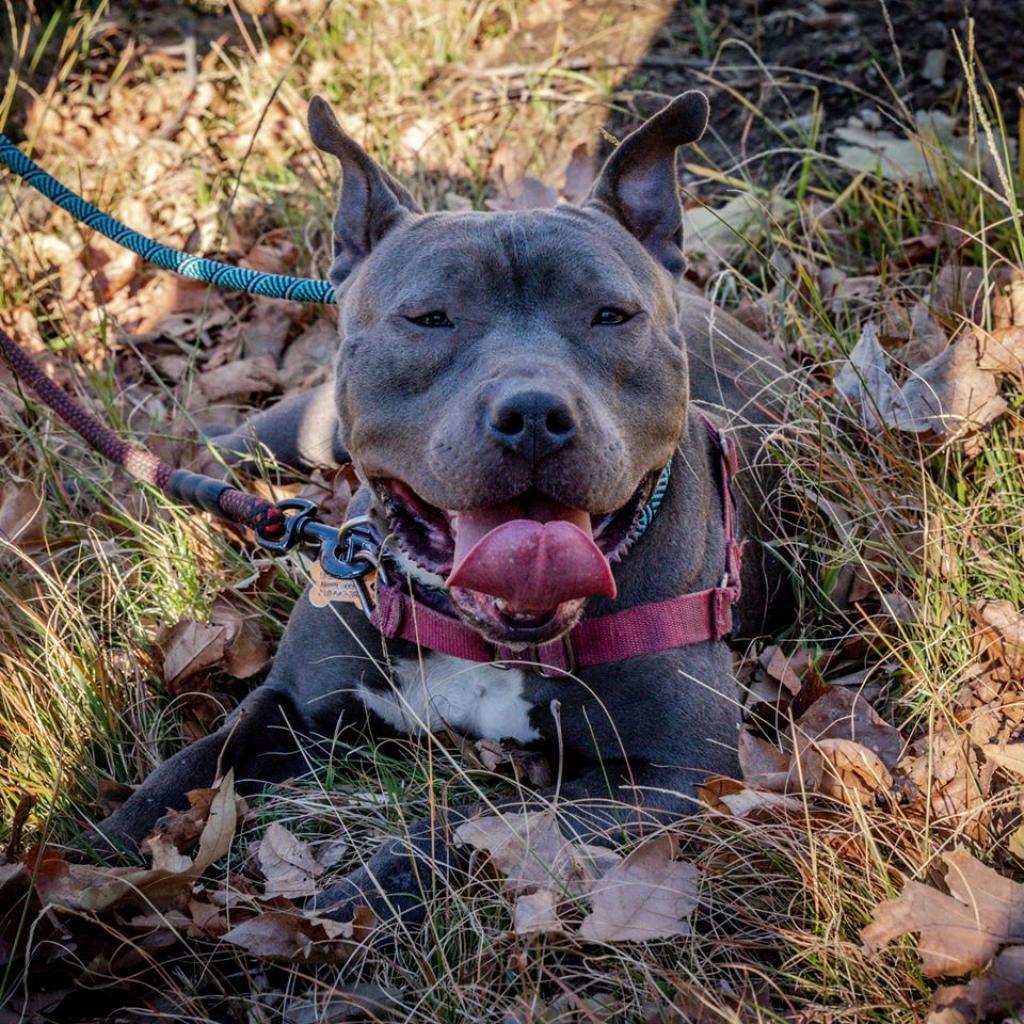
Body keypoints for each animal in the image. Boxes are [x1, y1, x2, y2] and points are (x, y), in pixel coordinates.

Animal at [94, 92, 790, 925]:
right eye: (429, 317)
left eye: (611, 315)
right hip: (310, 427)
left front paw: (356, 898)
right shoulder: (291, 703)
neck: (487, 637)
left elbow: (470, 830)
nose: (533, 413)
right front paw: (84, 861)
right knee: (229, 451)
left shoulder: (674, 774)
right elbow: (184, 770)